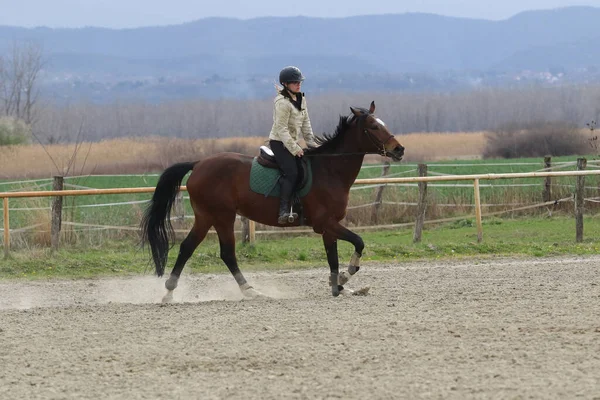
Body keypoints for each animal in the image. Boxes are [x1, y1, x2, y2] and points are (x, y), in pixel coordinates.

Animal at [141, 101, 404, 298]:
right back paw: (249, 291)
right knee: (226, 253)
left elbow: (333, 258)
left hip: (206, 217)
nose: (399, 149)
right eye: (373, 126)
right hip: (221, 216)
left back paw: (169, 292)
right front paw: (346, 275)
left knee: (188, 247)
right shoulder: (326, 223)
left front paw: (338, 286)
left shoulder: (329, 227)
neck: (329, 170)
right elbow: (358, 242)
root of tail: (198, 164)